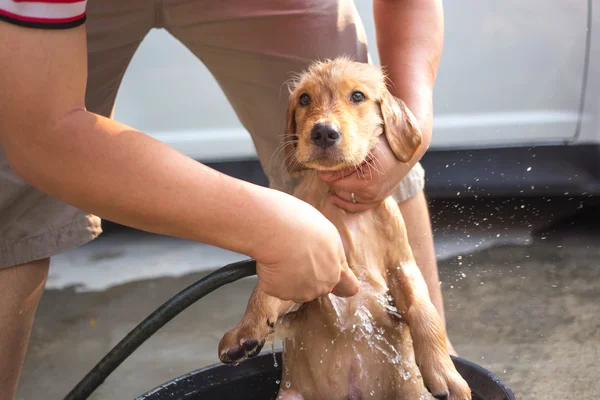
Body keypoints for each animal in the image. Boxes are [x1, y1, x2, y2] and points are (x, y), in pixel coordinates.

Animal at [218, 57, 472, 400]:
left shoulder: (402, 264)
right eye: (304, 99)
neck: (340, 207)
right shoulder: (304, 271)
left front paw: (446, 373)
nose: (324, 132)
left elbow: (423, 308)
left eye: (357, 96)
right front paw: (245, 331)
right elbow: (265, 290)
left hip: (410, 393)